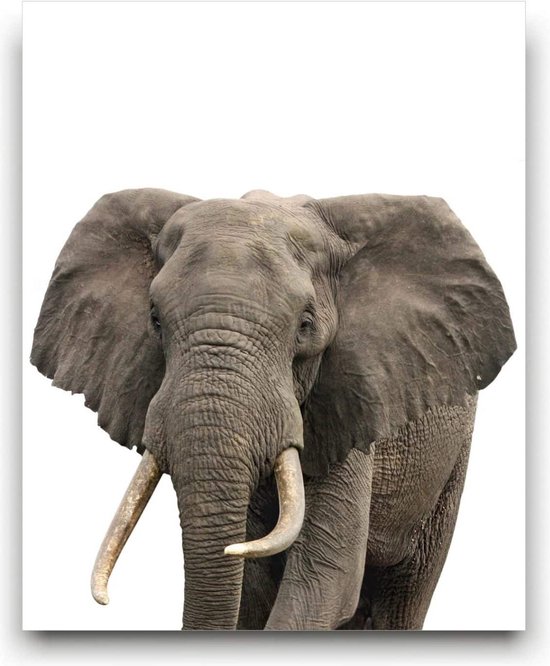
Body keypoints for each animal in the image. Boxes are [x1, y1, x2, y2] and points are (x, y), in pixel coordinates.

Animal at [30, 188, 516, 630]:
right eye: (154, 319)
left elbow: (324, 580)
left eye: (305, 326)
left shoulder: (348, 405)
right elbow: (254, 588)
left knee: (404, 595)